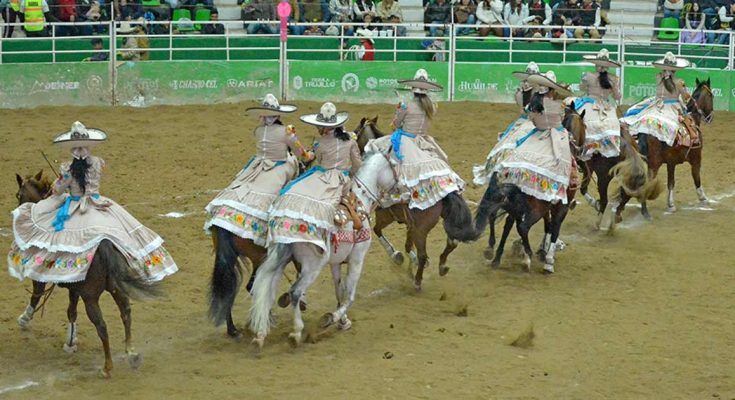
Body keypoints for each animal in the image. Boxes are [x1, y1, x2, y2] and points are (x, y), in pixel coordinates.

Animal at [13, 170, 155, 378]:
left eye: (18, 194)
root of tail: (105, 245)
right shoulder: (74, 287)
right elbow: (71, 311)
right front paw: (71, 341)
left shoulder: (46, 279)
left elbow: (36, 294)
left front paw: (24, 318)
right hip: (116, 289)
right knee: (126, 313)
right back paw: (131, 353)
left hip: (91, 298)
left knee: (102, 326)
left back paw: (107, 367)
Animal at [249, 152, 400, 348]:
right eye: (395, 164)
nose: (401, 187)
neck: (360, 202)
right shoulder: (357, 259)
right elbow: (350, 295)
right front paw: (332, 318)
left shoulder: (335, 263)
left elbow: (339, 290)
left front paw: (343, 321)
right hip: (311, 268)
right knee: (295, 292)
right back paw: (296, 332)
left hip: (279, 262)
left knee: (267, 291)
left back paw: (260, 335)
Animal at [356, 114, 480, 290]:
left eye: (355, 132)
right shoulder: (410, 224)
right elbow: (408, 245)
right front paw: (410, 260)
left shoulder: (386, 217)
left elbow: (378, 231)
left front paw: (396, 255)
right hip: (444, 221)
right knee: (452, 242)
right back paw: (442, 266)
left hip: (421, 231)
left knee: (424, 254)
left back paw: (417, 281)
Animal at [474, 102, 588, 276]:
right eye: (585, 126)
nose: (584, 149)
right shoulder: (561, 206)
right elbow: (555, 228)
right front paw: (548, 260)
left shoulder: (547, 205)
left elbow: (547, 226)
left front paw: (542, 251)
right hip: (535, 208)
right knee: (522, 226)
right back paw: (526, 257)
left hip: (510, 201)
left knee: (497, 216)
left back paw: (495, 255)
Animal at [620, 76, 716, 220]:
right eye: (711, 95)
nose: (710, 118)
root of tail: (644, 130)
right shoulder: (696, 158)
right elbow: (696, 178)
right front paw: (703, 198)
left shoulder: (671, 163)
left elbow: (671, 182)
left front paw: (670, 205)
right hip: (654, 165)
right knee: (646, 184)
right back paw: (644, 211)